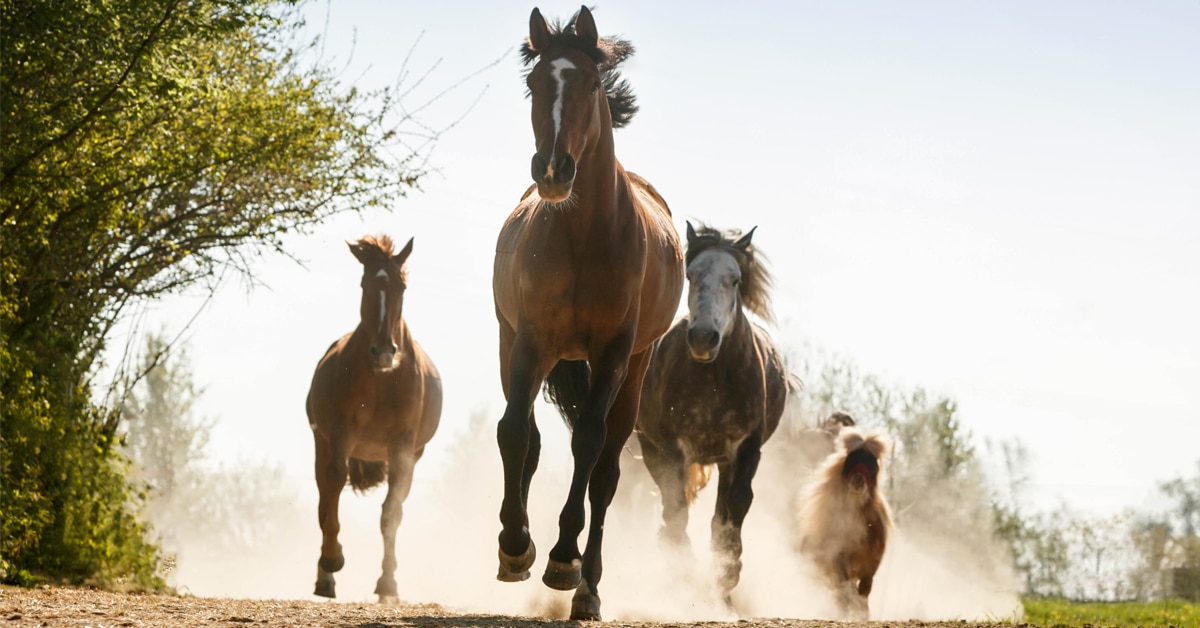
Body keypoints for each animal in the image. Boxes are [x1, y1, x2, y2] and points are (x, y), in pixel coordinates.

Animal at [306, 234, 442, 602]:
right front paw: (332, 560)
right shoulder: (342, 433)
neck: (382, 379)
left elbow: (391, 511)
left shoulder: (404, 446)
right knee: (325, 497)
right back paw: (325, 576)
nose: (383, 351)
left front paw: (388, 582)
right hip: (321, 443)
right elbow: (333, 490)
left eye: (402, 286)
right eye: (365, 284)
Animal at [492, 6, 684, 620]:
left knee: (606, 471)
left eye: (592, 83)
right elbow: (514, 434)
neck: (582, 236)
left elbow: (589, 447)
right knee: (528, 439)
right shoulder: (530, 342)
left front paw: (561, 559)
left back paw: (588, 588)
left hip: (634, 370)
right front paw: (515, 547)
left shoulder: (612, 354)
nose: (553, 170)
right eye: (534, 82)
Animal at [635, 222, 791, 605]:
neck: (715, 381)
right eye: (691, 274)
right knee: (669, 503)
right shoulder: (673, 448)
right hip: (651, 447)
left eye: (734, 279)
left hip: (723, 461)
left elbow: (733, 508)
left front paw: (727, 575)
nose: (703, 338)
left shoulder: (745, 449)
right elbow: (676, 507)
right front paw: (683, 569)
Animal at [796, 421, 892, 620]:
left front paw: (862, 614)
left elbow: (864, 590)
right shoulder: (837, 559)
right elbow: (845, 586)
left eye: (873, 465)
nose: (858, 480)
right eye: (851, 460)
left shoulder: (872, 563)